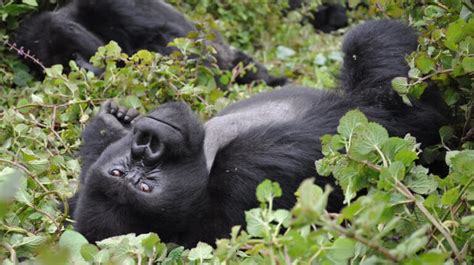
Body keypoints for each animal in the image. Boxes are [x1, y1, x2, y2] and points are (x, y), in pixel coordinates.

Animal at [68, 20, 446, 245]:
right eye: (145, 186)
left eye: (126, 171)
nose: (148, 145)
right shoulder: (251, 173)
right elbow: (387, 114)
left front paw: (108, 125)